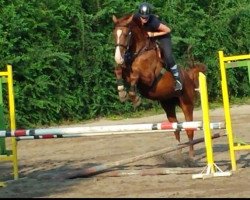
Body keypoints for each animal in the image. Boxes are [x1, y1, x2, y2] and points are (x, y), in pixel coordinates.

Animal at [112, 14, 206, 158]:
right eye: (114, 34)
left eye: (127, 34)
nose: (118, 57)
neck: (140, 51)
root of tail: (189, 76)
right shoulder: (126, 70)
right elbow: (118, 70)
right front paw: (122, 92)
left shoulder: (148, 78)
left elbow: (135, 75)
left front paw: (134, 97)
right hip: (168, 105)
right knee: (176, 129)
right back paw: (179, 155)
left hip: (187, 104)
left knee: (189, 129)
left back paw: (191, 155)